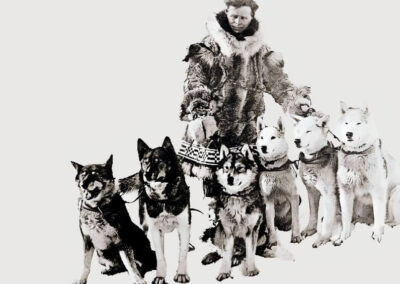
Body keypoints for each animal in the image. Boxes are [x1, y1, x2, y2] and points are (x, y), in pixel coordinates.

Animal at [71, 155, 155, 284]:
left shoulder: (123, 240)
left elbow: (130, 264)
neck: (98, 208)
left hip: (141, 242)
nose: (82, 184)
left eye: (95, 174)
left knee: (139, 264)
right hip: (101, 254)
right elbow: (85, 263)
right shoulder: (87, 239)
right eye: (83, 175)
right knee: (119, 266)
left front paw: (138, 279)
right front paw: (82, 279)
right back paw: (110, 270)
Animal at [119, 138, 191, 284]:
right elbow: (160, 257)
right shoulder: (156, 230)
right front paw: (160, 276)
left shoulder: (184, 227)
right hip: (145, 224)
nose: (146, 174)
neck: (163, 199)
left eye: (158, 160)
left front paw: (181, 274)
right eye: (145, 161)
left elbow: (182, 254)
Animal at [294, 114, 340, 247]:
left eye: (308, 131)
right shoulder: (311, 191)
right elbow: (313, 214)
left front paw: (323, 238)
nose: (296, 140)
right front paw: (310, 230)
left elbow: (328, 221)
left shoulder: (329, 195)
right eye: (298, 130)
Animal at [336, 102, 400, 244]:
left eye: (358, 123)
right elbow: (346, 218)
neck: (356, 155)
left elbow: (379, 216)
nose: (349, 134)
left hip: (394, 196)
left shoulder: (378, 192)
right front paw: (343, 235)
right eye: (347, 123)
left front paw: (377, 234)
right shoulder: (346, 192)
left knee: (392, 220)